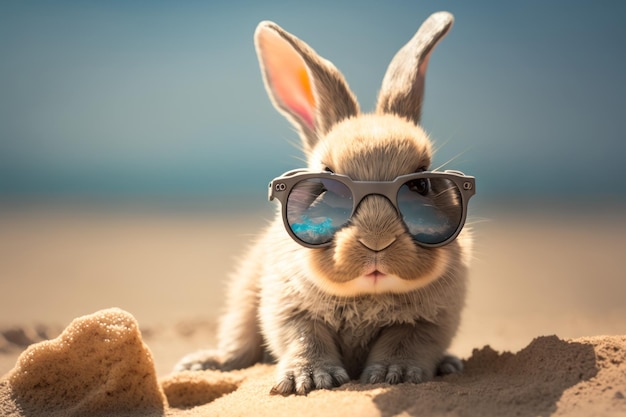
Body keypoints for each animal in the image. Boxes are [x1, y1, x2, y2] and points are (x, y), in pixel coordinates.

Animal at [173, 9, 470, 394]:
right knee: (239, 347)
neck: (366, 296)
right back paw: (201, 364)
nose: (376, 241)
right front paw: (311, 380)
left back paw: (450, 364)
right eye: (325, 186)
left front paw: (395, 375)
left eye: (421, 184)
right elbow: (304, 339)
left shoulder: (431, 320)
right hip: (242, 302)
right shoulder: (288, 309)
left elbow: (407, 342)